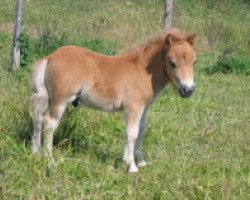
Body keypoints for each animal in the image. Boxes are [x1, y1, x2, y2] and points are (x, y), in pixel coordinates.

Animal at [29, 30, 197, 173]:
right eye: (171, 62)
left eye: (194, 62)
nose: (188, 90)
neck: (142, 71)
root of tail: (49, 57)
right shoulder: (133, 107)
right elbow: (132, 133)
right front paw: (131, 166)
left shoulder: (144, 107)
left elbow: (141, 131)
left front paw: (141, 162)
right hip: (60, 100)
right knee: (49, 123)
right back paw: (50, 161)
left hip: (47, 98)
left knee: (38, 120)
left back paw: (36, 154)